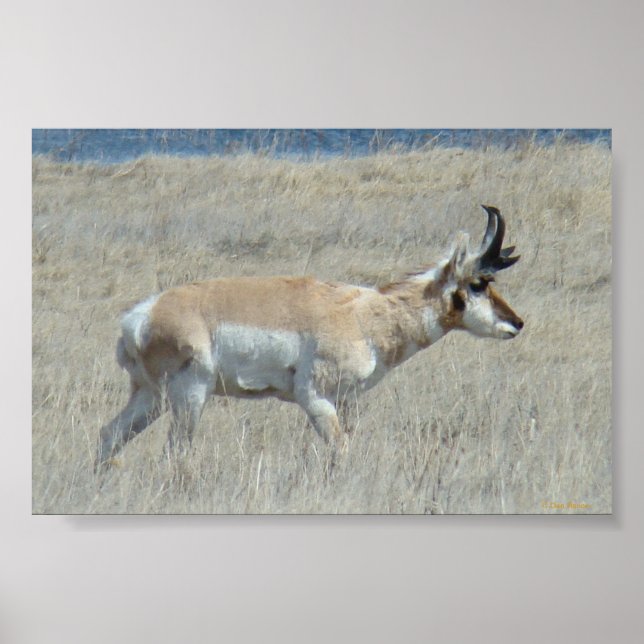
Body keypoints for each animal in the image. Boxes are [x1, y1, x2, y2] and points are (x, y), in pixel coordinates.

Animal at [96, 205, 523, 469]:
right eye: (479, 283)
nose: (517, 323)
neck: (365, 314)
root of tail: (141, 315)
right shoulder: (315, 398)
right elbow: (340, 450)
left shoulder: (349, 400)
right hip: (189, 397)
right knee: (173, 452)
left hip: (151, 397)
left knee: (110, 434)